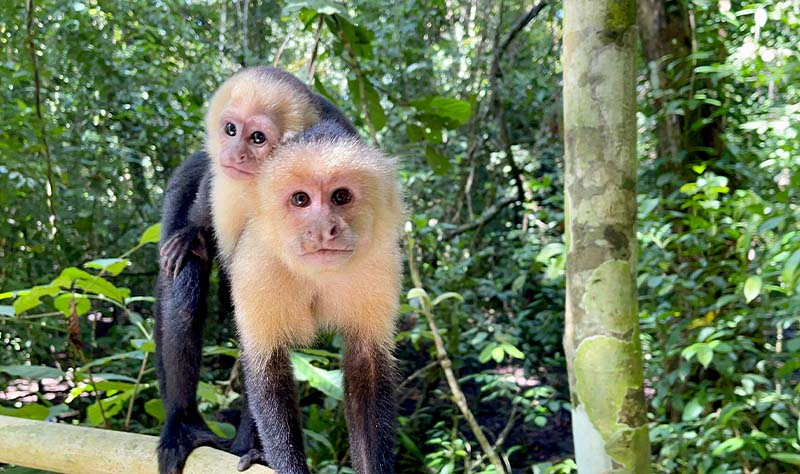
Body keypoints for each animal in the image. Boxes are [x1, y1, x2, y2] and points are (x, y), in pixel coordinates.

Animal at [153, 67, 356, 474]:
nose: (235, 153)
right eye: (232, 130)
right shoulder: (221, 185)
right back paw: (183, 425)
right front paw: (192, 237)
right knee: (184, 285)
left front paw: (259, 449)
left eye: (258, 138)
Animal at [228, 119, 406, 474]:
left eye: (340, 196)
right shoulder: (256, 266)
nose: (324, 229)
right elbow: (267, 370)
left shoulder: (380, 266)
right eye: (301, 200)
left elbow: (365, 366)